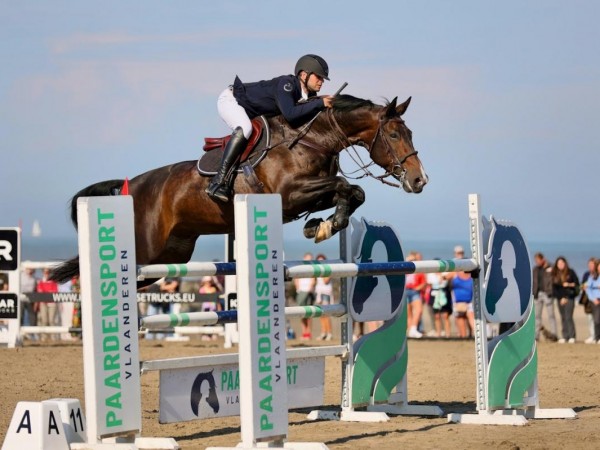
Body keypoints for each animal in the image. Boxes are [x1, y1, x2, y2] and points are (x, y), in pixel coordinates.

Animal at [50, 94, 426, 284]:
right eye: (394, 134)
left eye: (410, 133)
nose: (420, 180)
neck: (312, 140)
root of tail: (129, 187)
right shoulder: (289, 194)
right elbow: (345, 185)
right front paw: (323, 226)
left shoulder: (306, 195)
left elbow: (352, 192)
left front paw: (319, 226)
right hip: (146, 251)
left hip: (171, 256)